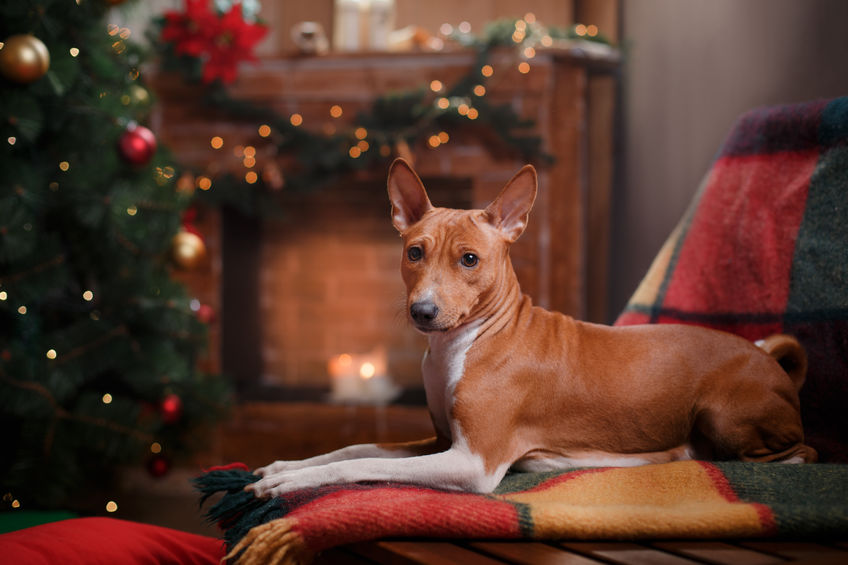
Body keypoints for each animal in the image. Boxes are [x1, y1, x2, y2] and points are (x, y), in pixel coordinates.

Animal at [248, 160, 820, 498]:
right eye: (414, 253)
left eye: (469, 259)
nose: (423, 312)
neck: (461, 345)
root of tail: (766, 355)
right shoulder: (441, 441)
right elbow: (354, 450)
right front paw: (284, 468)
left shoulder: (472, 462)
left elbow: (355, 465)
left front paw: (292, 483)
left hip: (723, 413)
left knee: (802, 453)